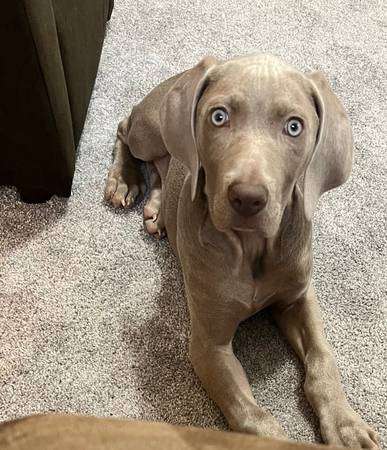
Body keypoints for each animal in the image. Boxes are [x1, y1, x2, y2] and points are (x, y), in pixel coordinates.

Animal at [104, 54, 380, 448]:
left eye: (294, 127)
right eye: (219, 117)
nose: (248, 198)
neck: (252, 249)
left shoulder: (298, 296)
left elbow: (323, 358)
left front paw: (346, 426)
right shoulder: (209, 346)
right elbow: (252, 417)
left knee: (166, 169)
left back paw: (157, 210)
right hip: (150, 130)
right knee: (126, 128)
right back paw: (124, 180)